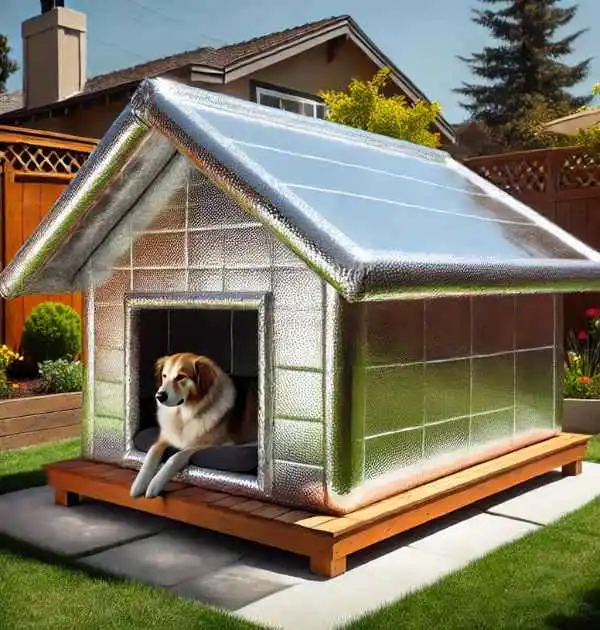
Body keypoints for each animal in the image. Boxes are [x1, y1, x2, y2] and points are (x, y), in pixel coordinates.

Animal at [130, 354, 256, 502]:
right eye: (164, 376)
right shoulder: (164, 439)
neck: (184, 415)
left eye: (180, 377)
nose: (159, 396)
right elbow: (150, 454)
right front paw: (138, 485)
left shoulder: (211, 444)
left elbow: (175, 457)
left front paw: (155, 484)